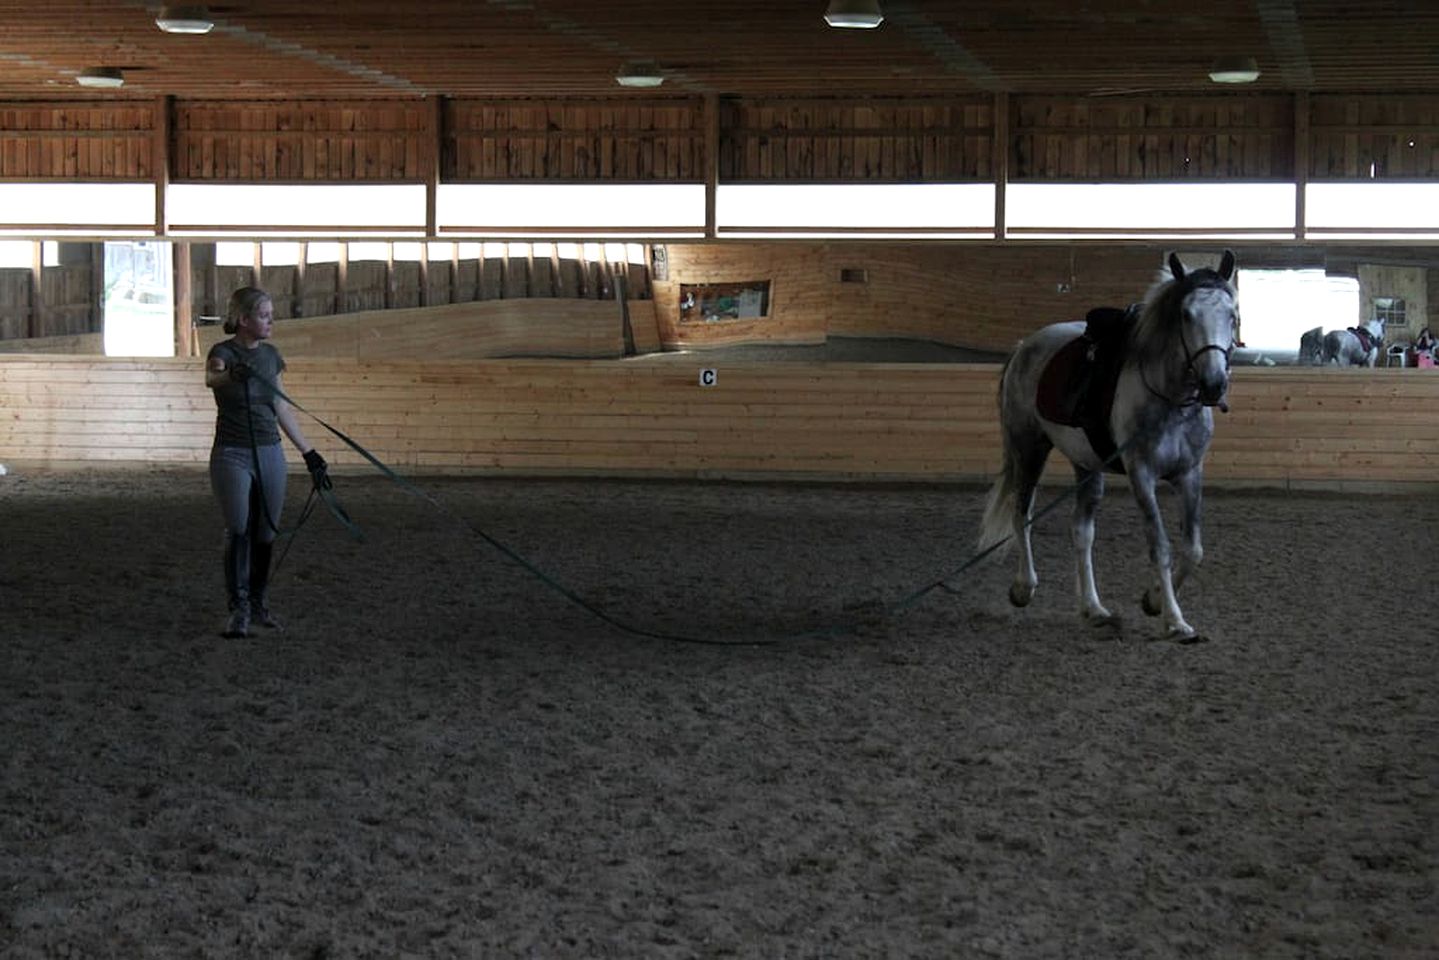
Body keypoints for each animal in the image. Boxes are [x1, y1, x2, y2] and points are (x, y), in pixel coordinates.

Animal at [978, 251, 1237, 641]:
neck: (1170, 401)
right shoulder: (1141, 475)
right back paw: (1024, 587)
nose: (1213, 385)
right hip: (1028, 448)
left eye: (1232, 315)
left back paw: (1093, 608)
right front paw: (1174, 620)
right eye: (1186, 315)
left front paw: (1154, 600)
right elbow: (1160, 546)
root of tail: (1025, 346)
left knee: (1082, 532)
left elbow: (1193, 549)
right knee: (1022, 513)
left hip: (1087, 466)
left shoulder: (1190, 474)